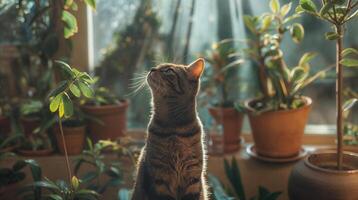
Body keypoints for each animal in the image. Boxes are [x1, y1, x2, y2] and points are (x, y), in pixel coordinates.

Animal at [133, 58, 208, 199]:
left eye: (168, 70)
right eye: (157, 66)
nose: (152, 68)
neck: (174, 129)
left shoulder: (193, 177)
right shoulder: (159, 179)